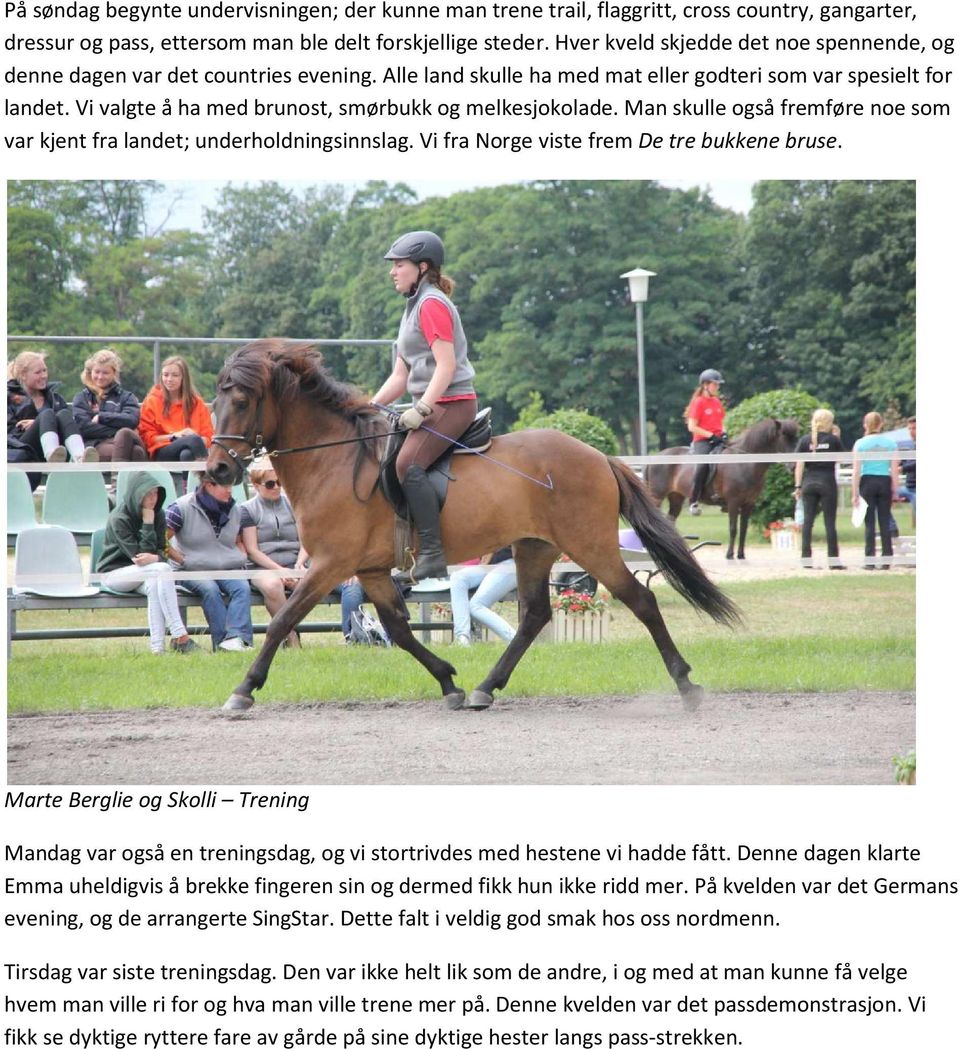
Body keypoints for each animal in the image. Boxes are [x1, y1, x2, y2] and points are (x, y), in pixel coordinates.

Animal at [206, 339, 738, 717]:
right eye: (215, 401)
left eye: (242, 400)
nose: (217, 470)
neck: (332, 459)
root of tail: (597, 455)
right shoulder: (370, 570)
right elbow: (398, 629)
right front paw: (449, 681)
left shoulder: (330, 565)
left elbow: (283, 620)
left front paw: (243, 691)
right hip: (534, 548)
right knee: (534, 616)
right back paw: (486, 688)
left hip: (590, 546)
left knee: (641, 601)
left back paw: (686, 685)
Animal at [646, 419, 801, 562]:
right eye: (784, 437)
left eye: (796, 438)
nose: (794, 466)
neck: (745, 463)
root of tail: (655, 456)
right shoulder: (733, 502)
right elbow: (733, 529)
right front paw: (730, 555)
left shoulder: (749, 504)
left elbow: (743, 529)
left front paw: (741, 555)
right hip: (656, 497)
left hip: (676, 498)